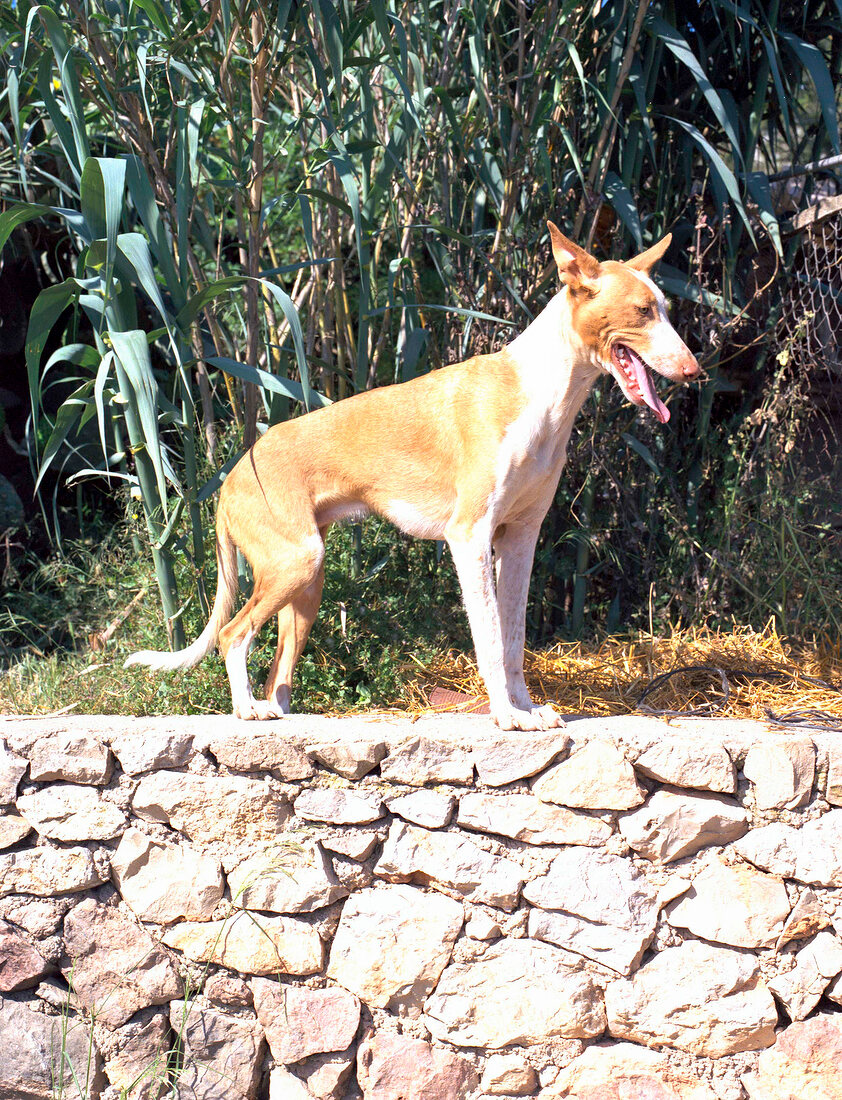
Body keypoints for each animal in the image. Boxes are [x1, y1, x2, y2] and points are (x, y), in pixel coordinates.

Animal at [128, 223, 700, 730]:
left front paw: (526, 708)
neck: (539, 393)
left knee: (277, 674)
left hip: (306, 586)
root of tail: (230, 478)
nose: (696, 372)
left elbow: (513, 641)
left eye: (665, 309)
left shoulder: (519, 539)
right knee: (232, 635)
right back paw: (246, 710)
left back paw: (273, 712)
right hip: (295, 562)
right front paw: (506, 717)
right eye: (642, 310)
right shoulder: (469, 538)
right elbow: (490, 640)